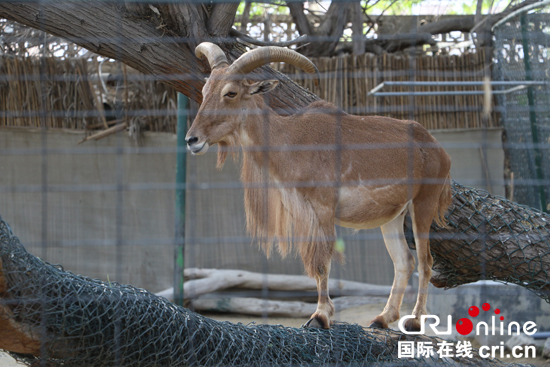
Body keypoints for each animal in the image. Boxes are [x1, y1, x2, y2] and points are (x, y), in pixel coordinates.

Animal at [187, 42, 452, 330]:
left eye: (231, 93)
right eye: (205, 91)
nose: (192, 139)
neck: (288, 140)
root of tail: (439, 150)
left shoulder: (322, 209)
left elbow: (322, 263)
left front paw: (320, 316)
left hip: (423, 203)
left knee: (425, 261)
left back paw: (414, 321)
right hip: (393, 217)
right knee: (404, 261)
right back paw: (382, 318)